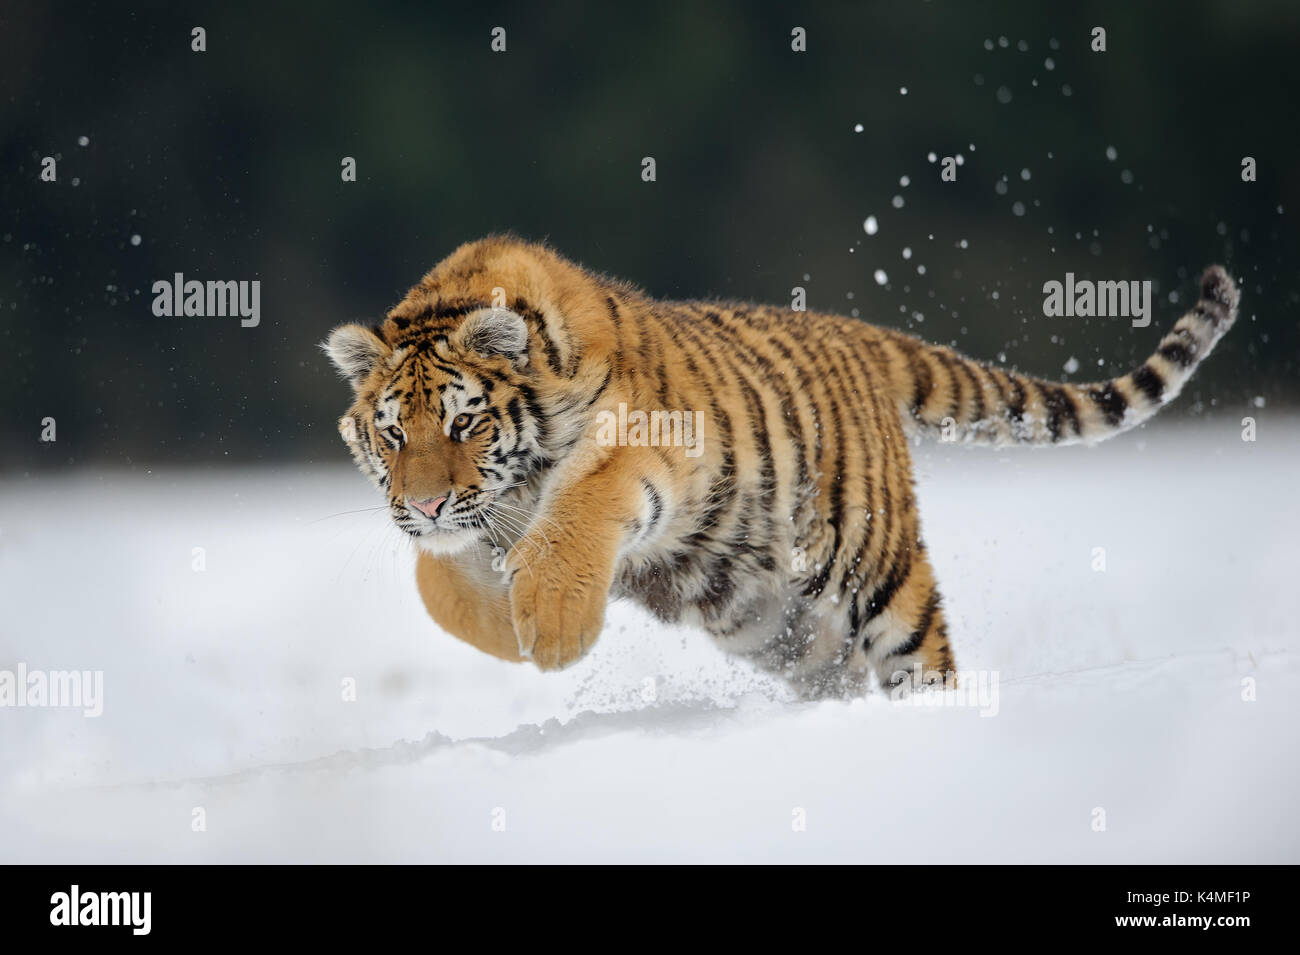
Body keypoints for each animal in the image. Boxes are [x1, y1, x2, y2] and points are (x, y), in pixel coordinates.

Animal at [322, 237, 1237, 701]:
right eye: (392, 434)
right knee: (836, 667)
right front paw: (505, 630)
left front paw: (547, 627)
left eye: (464, 421)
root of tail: (858, 334)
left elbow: (579, 505)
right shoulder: (471, 526)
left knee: (923, 656)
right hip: (772, 621)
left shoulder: (646, 449)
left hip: (878, 567)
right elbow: (436, 587)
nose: (425, 505)